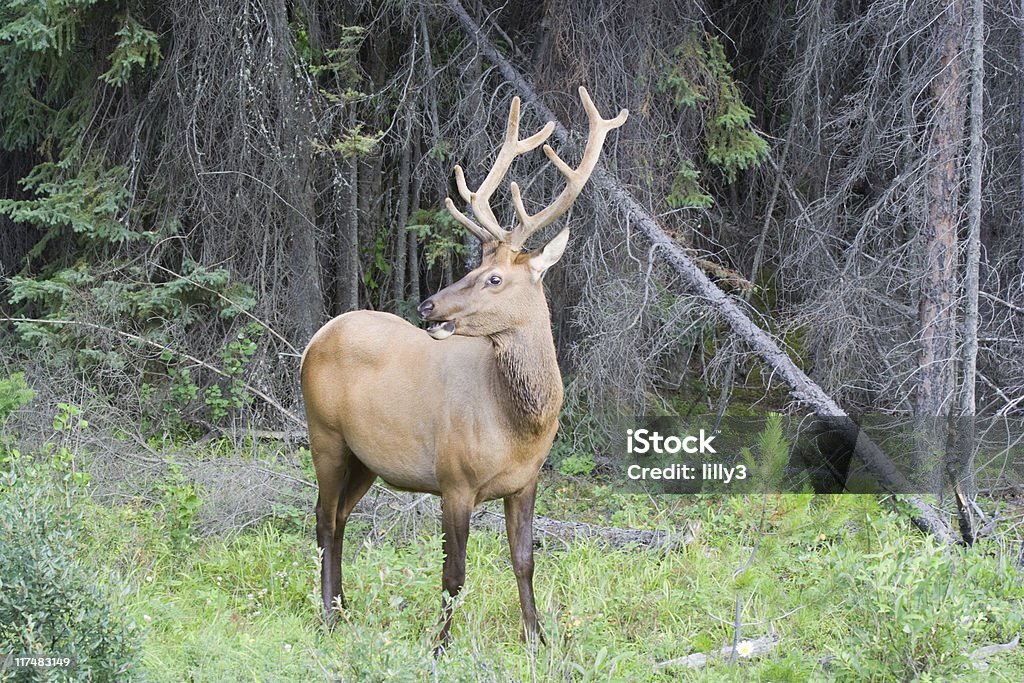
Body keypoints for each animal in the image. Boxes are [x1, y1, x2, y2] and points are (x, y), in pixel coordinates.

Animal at [299, 88, 626, 651]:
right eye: (474, 266)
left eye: (493, 277)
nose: (429, 305)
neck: (519, 426)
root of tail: (313, 341)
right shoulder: (454, 479)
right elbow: (454, 574)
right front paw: (438, 646)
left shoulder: (525, 482)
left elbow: (525, 561)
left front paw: (538, 641)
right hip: (324, 435)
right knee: (322, 518)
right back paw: (328, 616)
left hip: (366, 458)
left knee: (339, 517)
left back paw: (342, 608)